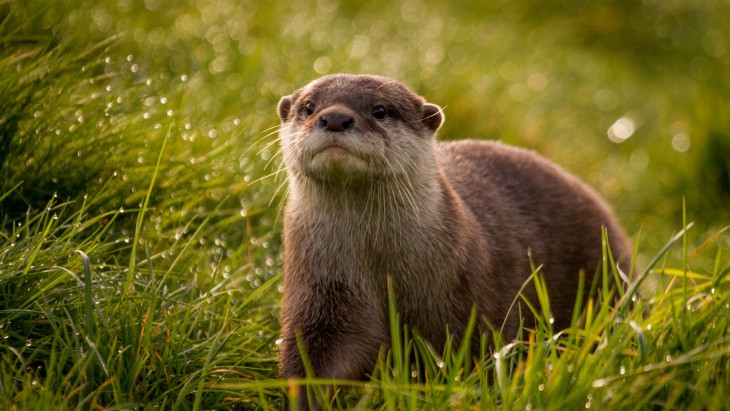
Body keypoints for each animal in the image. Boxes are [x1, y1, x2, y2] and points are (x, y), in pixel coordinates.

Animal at [276, 75, 628, 408]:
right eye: (309, 106)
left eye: (380, 110)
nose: (335, 118)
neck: (380, 267)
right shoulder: (320, 297)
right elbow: (311, 362)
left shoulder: (469, 304)